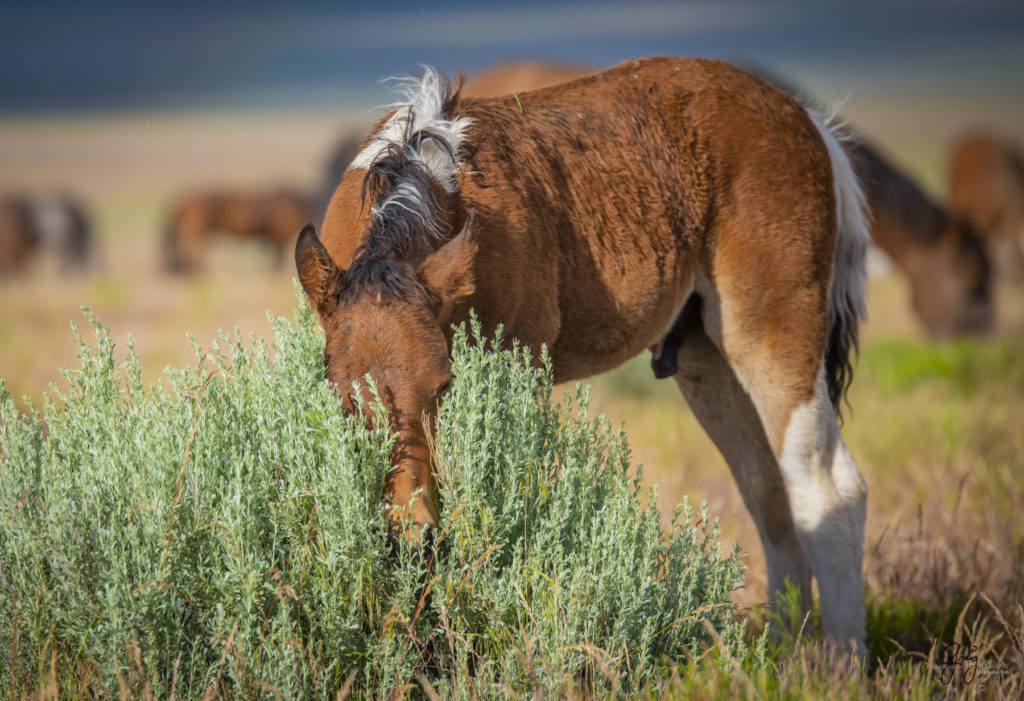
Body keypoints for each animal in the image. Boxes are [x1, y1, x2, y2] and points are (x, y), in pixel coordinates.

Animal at [296, 57, 872, 654]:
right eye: (342, 398)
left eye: (444, 387)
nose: (412, 536)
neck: (442, 183)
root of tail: (805, 117)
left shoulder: (520, 372)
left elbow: (509, 501)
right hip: (706, 360)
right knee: (768, 494)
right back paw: (780, 652)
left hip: (772, 330)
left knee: (827, 487)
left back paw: (840, 661)